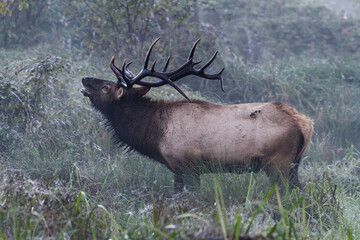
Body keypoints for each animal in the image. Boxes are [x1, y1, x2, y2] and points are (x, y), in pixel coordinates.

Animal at [81, 39, 312, 191]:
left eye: (106, 87)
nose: (84, 78)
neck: (155, 134)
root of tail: (305, 123)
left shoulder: (187, 166)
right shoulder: (181, 170)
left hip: (278, 163)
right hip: (293, 165)